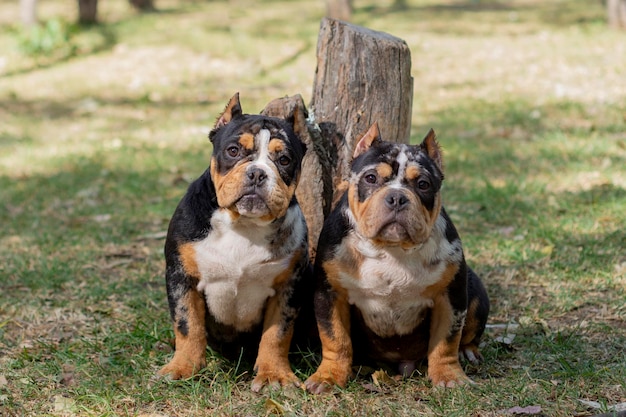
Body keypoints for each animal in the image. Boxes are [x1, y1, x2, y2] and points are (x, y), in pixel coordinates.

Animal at [158, 92, 310, 390]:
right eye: (233, 151)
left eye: (285, 160)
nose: (257, 173)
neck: (243, 224)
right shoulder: (182, 277)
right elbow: (187, 323)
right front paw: (183, 366)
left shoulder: (289, 285)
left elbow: (278, 332)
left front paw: (274, 373)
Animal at [302, 122, 488, 392]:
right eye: (371, 178)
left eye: (423, 184)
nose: (397, 197)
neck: (391, 248)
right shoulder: (330, 294)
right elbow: (335, 338)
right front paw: (328, 376)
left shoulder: (450, 297)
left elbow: (446, 341)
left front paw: (449, 376)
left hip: (475, 293)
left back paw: (468, 352)